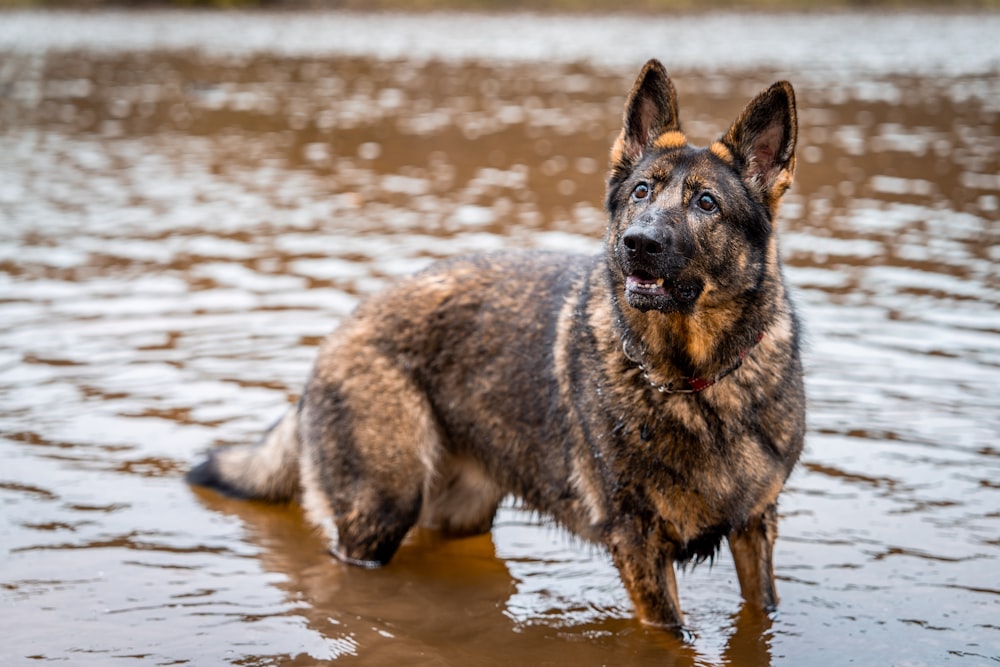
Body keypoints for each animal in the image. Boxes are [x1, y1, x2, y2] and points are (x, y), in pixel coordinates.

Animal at [191, 61, 808, 636]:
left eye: (706, 203)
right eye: (641, 192)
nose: (638, 243)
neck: (693, 381)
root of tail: (346, 324)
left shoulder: (756, 528)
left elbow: (766, 605)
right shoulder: (639, 547)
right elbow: (673, 634)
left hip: (456, 511)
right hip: (379, 512)